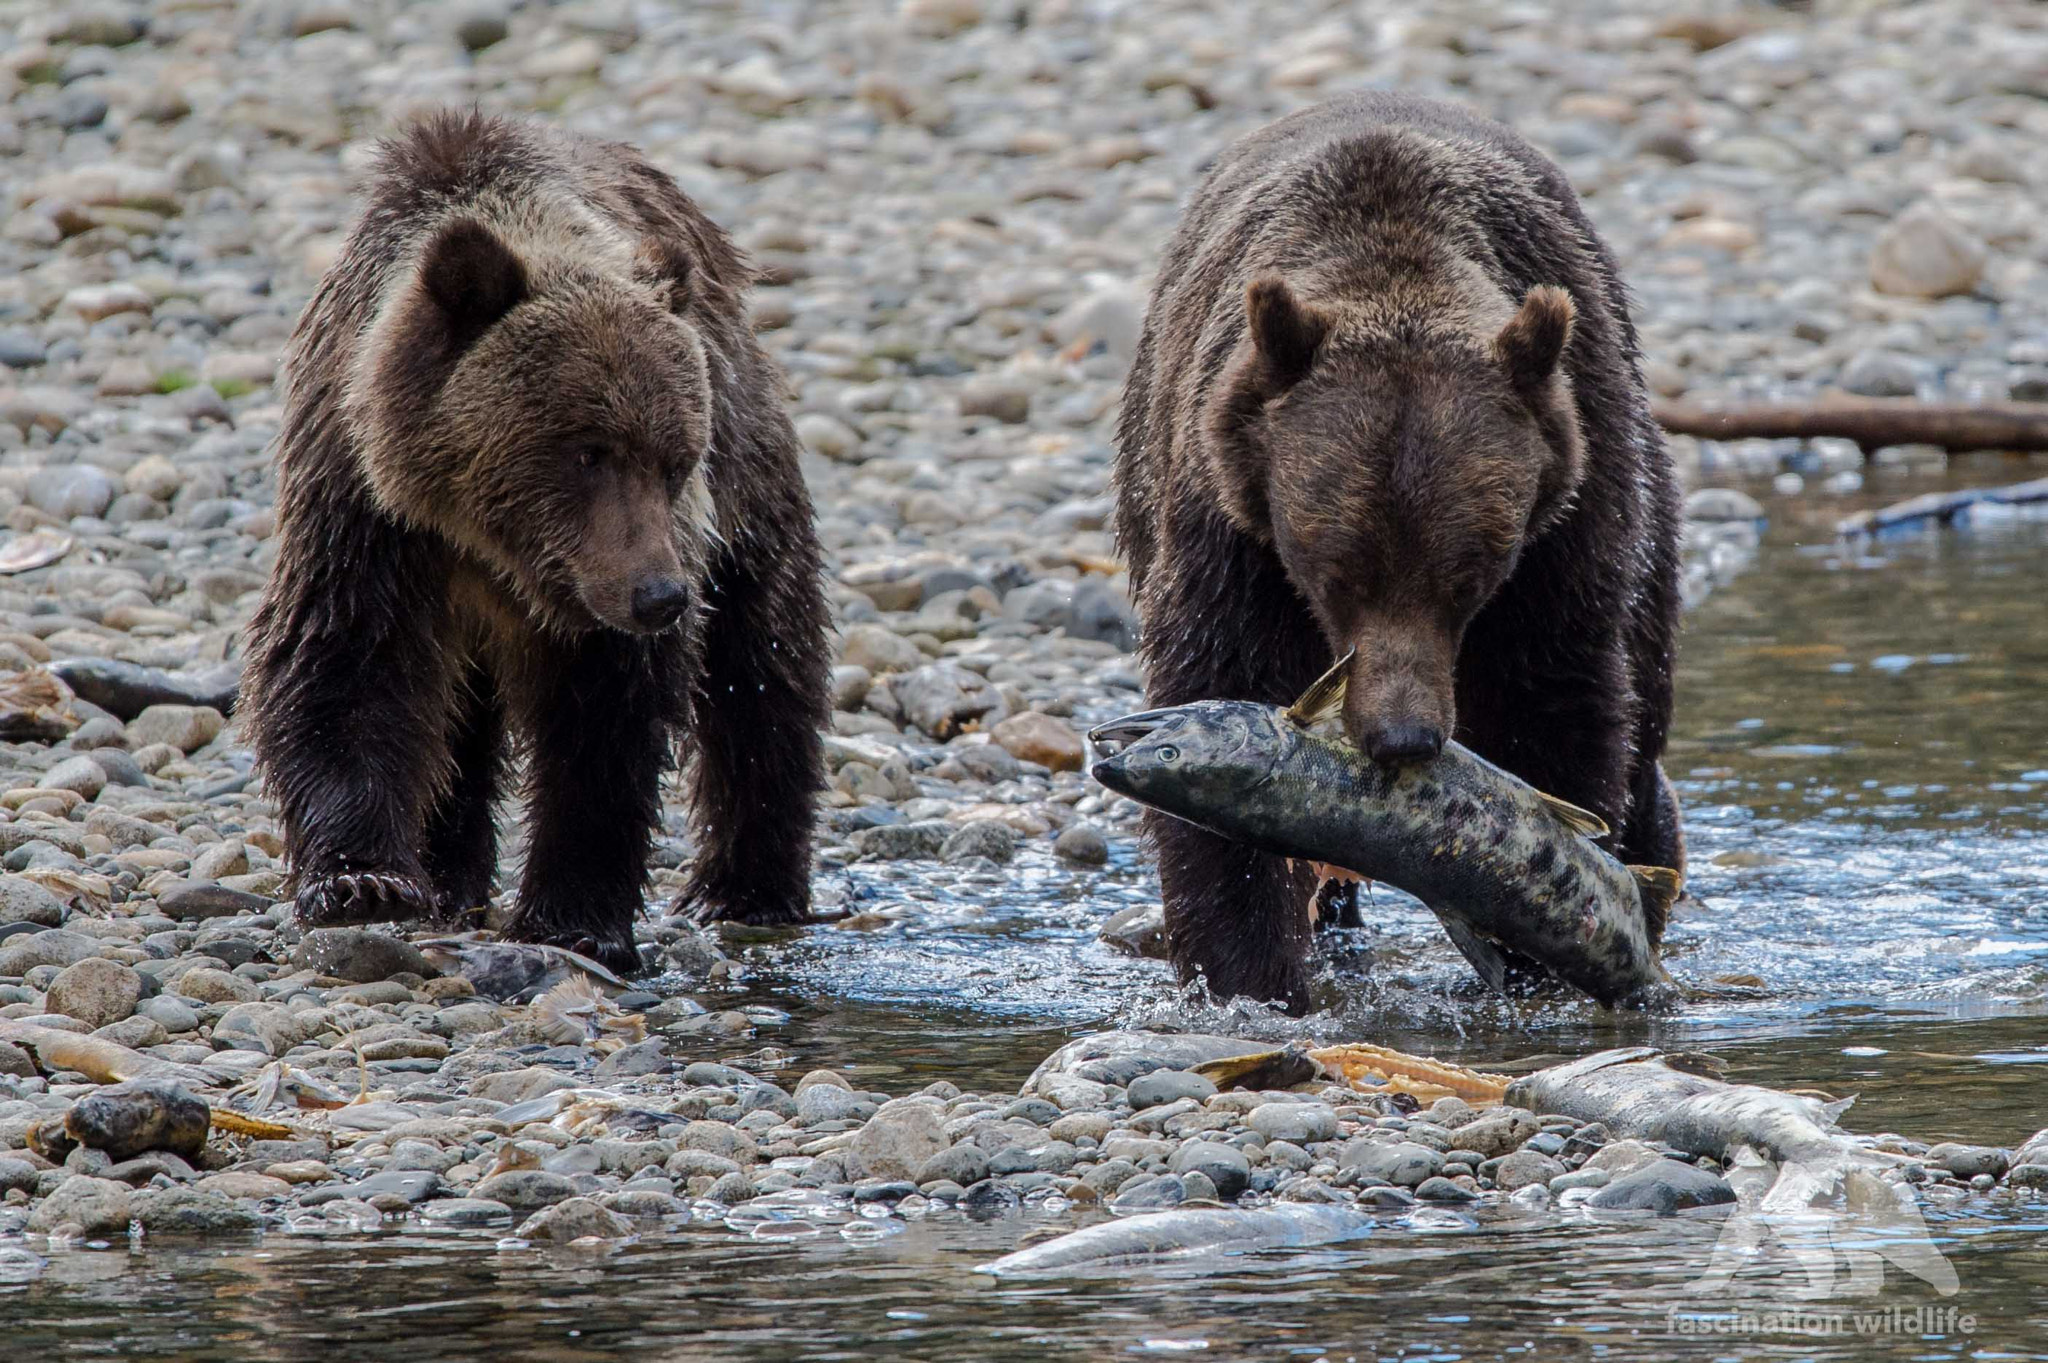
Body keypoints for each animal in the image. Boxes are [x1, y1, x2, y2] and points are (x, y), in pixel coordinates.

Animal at [241, 110, 831, 971]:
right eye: (588, 451)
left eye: (674, 460)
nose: (661, 594)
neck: (483, 537)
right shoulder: (364, 511)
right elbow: (344, 661)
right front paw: (363, 880)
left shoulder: (613, 570)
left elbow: (603, 720)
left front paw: (572, 916)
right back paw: (449, 873)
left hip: (746, 475)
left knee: (763, 663)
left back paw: (744, 887)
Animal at [1112, 93, 1684, 1012]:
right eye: (1337, 572)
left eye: (1470, 578)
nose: (1402, 737)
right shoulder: (1229, 528)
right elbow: (1218, 681)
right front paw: (1246, 978)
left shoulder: (1562, 535)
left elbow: (1551, 707)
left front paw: (1541, 954)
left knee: (1644, 737)